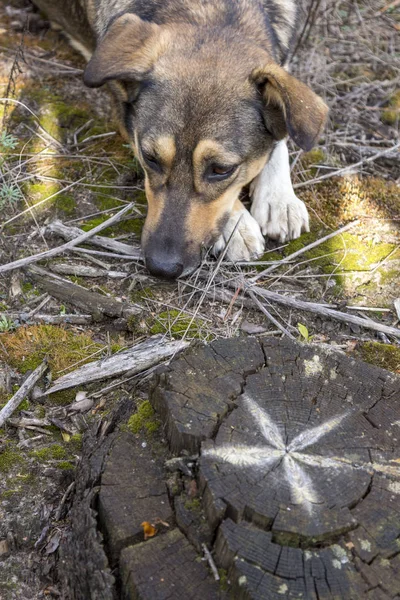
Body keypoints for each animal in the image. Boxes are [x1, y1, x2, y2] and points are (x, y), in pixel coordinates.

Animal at [30, 0, 324, 278]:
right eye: (149, 158)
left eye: (221, 169)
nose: (162, 268)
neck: (210, 12)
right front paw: (237, 224)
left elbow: (283, 136)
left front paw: (279, 198)